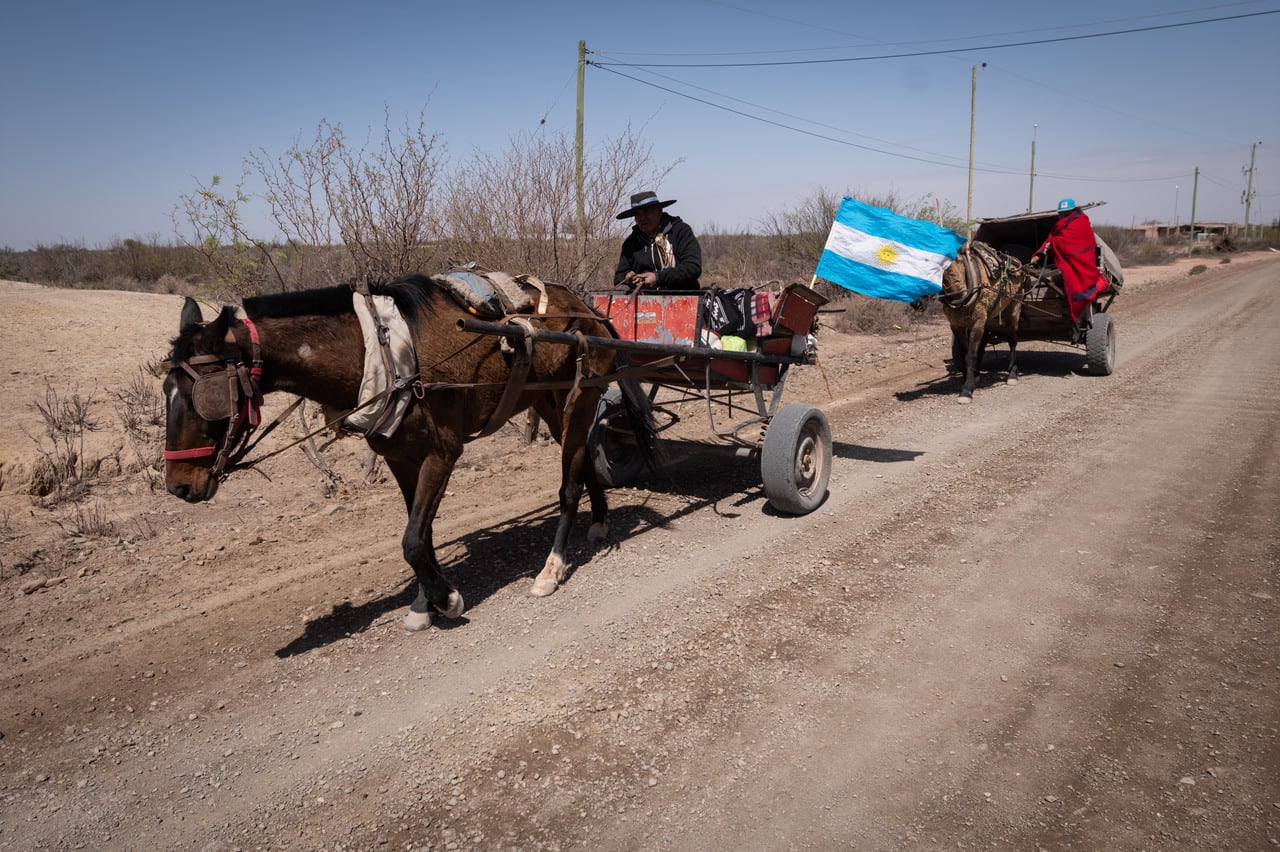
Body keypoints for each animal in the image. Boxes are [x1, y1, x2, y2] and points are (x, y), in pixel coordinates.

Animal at [161, 275, 655, 626]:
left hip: (583, 397)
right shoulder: (399, 457)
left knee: (568, 486)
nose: (179, 487)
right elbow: (421, 532)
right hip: (552, 402)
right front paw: (424, 602)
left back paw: (552, 569)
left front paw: (447, 599)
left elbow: (413, 540)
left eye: (206, 396)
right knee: (579, 462)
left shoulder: (443, 453)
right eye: (166, 390)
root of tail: (588, 310)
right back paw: (599, 520)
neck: (382, 352)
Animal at [942, 240, 1029, 404]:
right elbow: (965, 353)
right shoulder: (956, 325)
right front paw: (971, 378)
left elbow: (970, 355)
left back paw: (1012, 374)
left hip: (1014, 308)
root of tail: (1018, 264)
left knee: (1012, 340)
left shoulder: (978, 322)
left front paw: (966, 390)